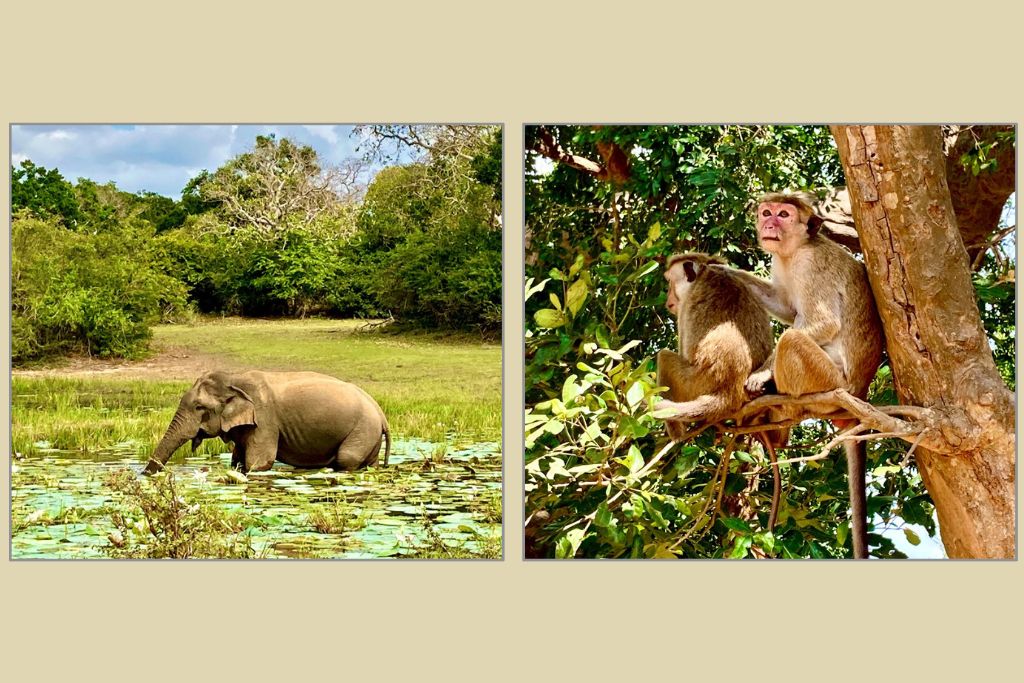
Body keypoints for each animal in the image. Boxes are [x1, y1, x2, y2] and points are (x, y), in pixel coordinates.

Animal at [144, 370, 390, 474]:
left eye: (199, 407)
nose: (144, 475)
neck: (234, 378)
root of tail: (381, 413)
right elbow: (237, 461)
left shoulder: (264, 419)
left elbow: (258, 463)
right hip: (369, 435)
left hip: (363, 429)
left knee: (346, 459)